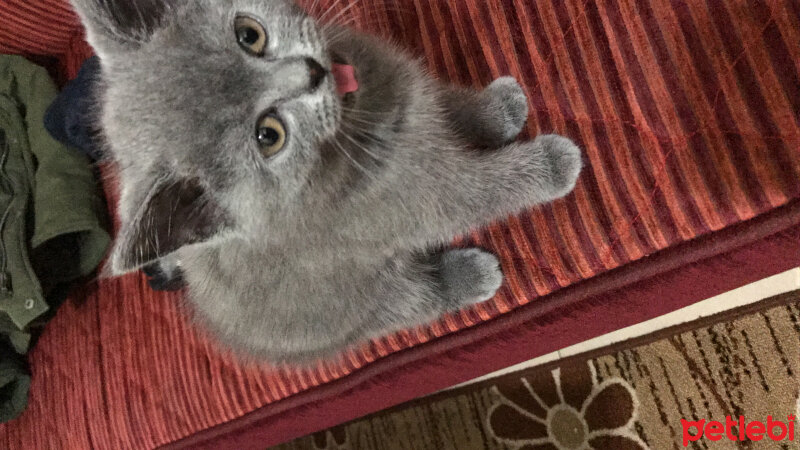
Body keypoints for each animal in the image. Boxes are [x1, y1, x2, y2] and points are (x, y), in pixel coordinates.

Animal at [70, 0, 580, 364]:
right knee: (405, 304)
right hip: (347, 308)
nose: (312, 72)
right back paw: (466, 275)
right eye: (268, 135)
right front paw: (552, 164)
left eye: (249, 34)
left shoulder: (413, 103)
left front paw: (498, 111)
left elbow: (449, 108)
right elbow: (483, 190)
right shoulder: (415, 202)